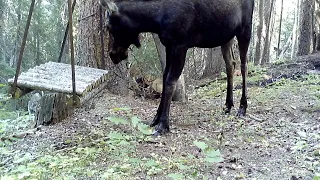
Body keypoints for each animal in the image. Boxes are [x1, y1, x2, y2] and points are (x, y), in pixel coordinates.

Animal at [100, 0, 255, 135]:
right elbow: (164, 78)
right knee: (230, 64)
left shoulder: (180, 45)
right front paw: (156, 119)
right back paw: (228, 105)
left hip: (245, 30)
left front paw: (163, 124)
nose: (112, 54)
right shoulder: (169, 45)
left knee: (244, 65)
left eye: (108, 26)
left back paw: (242, 107)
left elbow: (170, 82)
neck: (154, 20)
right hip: (226, 36)